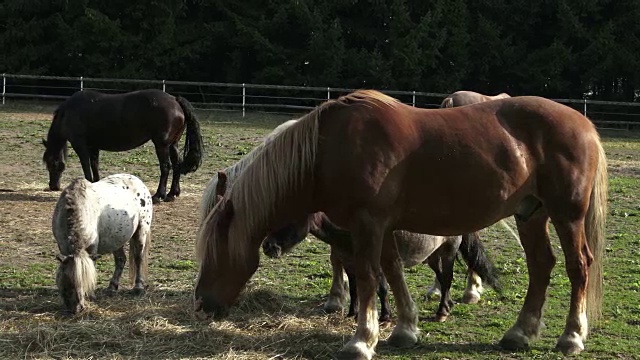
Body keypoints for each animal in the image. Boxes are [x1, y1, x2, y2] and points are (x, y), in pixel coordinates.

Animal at [42, 89, 202, 204]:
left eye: (51, 163)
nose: (53, 186)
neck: (69, 111)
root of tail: (175, 100)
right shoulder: (93, 146)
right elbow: (94, 165)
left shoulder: (80, 145)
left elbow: (86, 166)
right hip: (172, 145)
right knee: (176, 165)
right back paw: (171, 194)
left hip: (161, 145)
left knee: (165, 167)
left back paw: (158, 196)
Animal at [52, 173, 152, 314]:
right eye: (66, 282)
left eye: (83, 283)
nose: (75, 309)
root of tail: (138, 181)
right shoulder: (63, 247)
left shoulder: (91, 249)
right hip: (116, 238)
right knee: (121, 259)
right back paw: (112, 287)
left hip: (141, 231)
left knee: (138, 258)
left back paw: (138, 287)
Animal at [260, 210, 500, 322]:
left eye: (290, 219)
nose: (267, 246)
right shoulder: (350, 264)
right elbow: (354, 289)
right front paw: (352, 313)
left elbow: (382, 288)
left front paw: (384, 315)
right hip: (432, 256)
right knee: (442, 278)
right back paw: (448, 305)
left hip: (448, 252)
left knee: (448, 278)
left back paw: (442, 312)